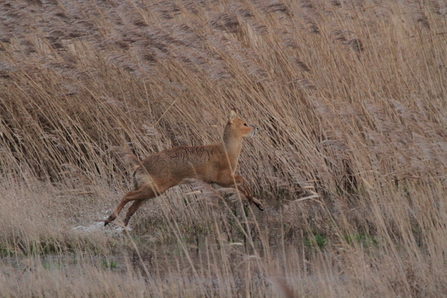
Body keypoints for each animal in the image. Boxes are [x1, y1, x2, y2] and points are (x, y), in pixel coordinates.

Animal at [104, 109, 266, 226]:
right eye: (245, 123)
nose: (257, 127)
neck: (228, 150)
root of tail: (138, 169)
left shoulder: (223, 182)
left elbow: (241, 189)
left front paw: (258, 204)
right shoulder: (222, 178)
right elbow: (243, 181)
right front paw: (254, 199)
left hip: (149, 192)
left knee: (131, 207)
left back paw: (123, 226)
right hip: (154, 189)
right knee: (127, 196)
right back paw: (109, 219)